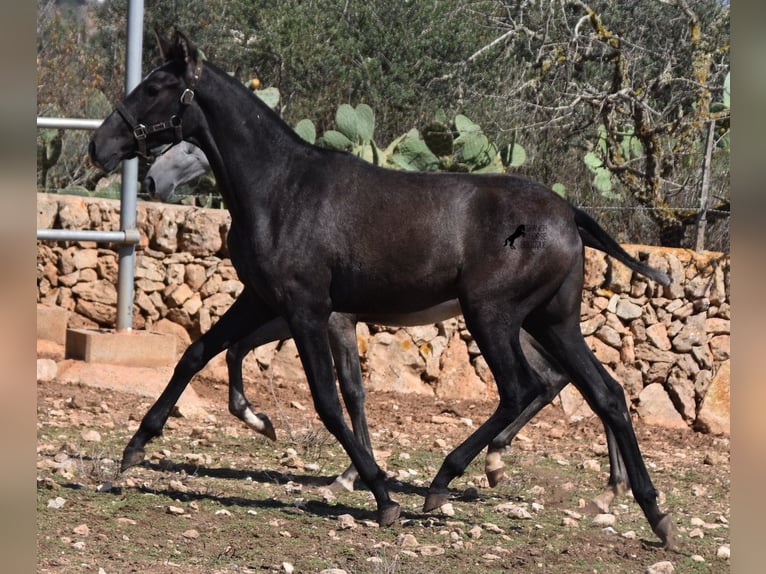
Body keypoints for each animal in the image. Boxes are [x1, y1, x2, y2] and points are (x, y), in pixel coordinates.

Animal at [91, 30, 680, 548]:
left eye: (154, 87)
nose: (99, 145)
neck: (281, 190)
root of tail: (568, 213)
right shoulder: (260, 300)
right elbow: (196, 354)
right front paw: (135, 448)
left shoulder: (308, 310)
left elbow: (331, 401)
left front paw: (379, 493)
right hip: (551, 321)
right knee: (606, 393)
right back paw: (652, 513)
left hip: (492, 315)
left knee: (524, 389)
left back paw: (443, 482)